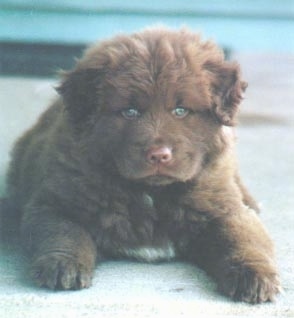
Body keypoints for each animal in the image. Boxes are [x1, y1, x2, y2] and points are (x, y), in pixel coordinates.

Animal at [5, 28, 280, 304]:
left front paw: (254, 274)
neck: (151, 194)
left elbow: (241, 238)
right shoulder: (55, 203)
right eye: (130, 112)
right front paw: (63, 265)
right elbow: (65, 232)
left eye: (180, 110)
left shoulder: (223, 208)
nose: (158, 155)